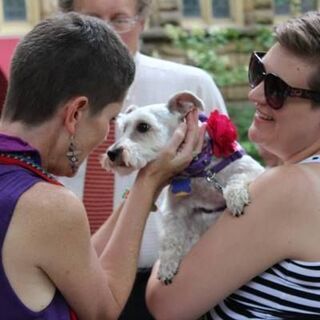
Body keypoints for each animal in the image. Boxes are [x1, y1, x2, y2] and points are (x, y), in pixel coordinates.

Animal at [101, 92, 264, 284]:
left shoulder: (254, 170)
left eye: (143, 126)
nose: (111, 153)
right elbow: (171, 238)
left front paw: (235, 197)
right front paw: (167, 266)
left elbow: (238, 177)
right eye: (124, 128)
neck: (200, 171)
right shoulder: (175, 210)